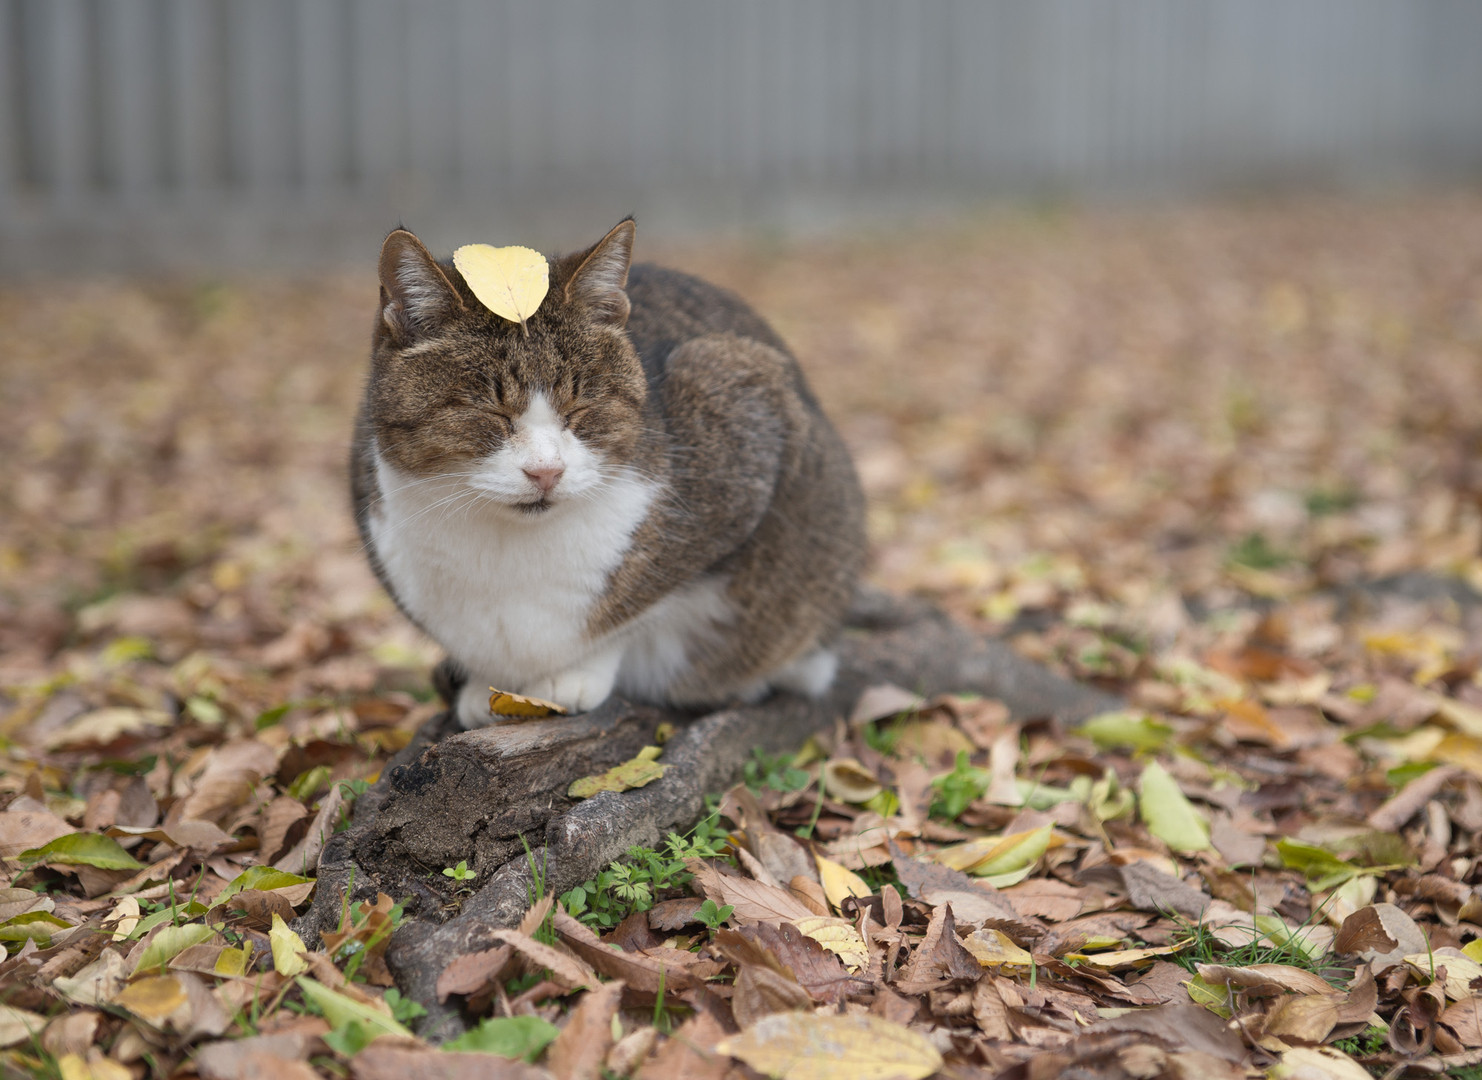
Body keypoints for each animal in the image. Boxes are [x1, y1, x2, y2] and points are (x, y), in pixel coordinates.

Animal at [351, 219, 866, 729]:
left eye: (580, 406)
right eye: (490, 411)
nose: (546, 471)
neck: (509, 546)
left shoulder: (742, 395)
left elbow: (631, 618)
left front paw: (572, 676)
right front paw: (485, 686)